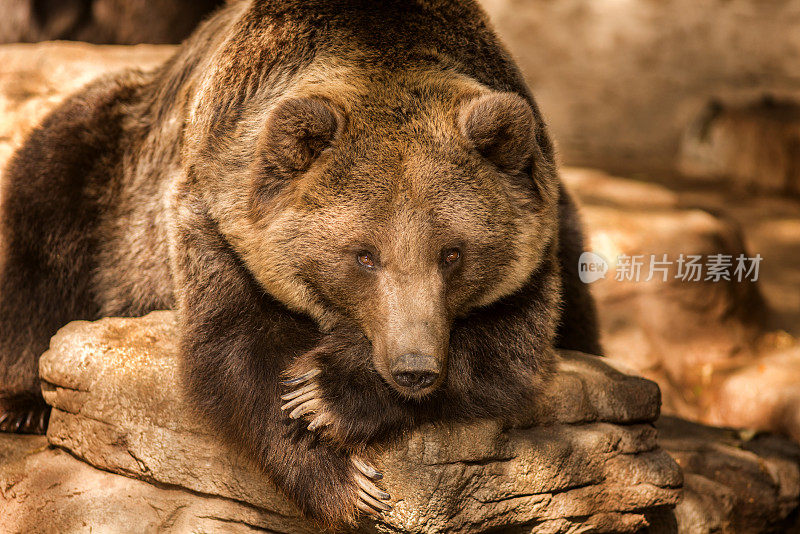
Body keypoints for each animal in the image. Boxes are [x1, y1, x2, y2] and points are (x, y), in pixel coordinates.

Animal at [0, 0, 600, 528]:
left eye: (452, 253)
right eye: (365, 255)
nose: (414, 367)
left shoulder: (536, 245)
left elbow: (506, 346)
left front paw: (328, 393)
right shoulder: (214, 222)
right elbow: (235, 348)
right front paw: (343, 479)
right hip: (110, 172)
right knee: (43, 221)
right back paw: (23, 403)